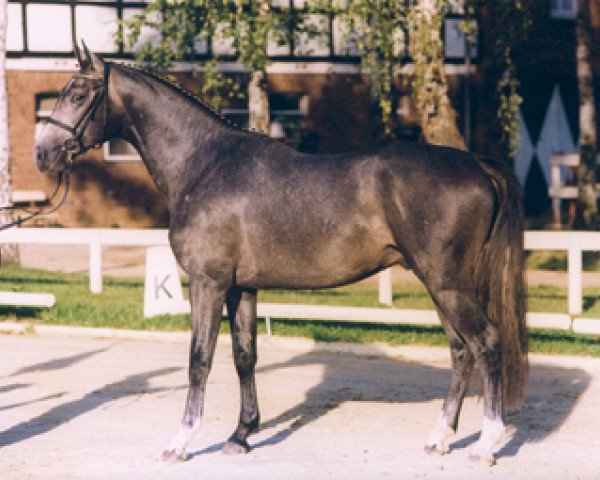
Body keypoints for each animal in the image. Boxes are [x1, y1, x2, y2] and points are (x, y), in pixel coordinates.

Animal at [35, 45, 528, 464]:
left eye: (78, 93)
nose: (43, 154)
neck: (204, 163)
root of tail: (477, 165)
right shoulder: (242, 287)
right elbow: (244, 356)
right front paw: (241, 435)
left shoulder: (208, 282)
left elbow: (199, 358)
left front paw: (181, 442)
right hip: (439, 283)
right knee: (461, 350)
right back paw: (439, 438)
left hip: (447, 283)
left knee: (486, 343)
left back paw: (485, 445)